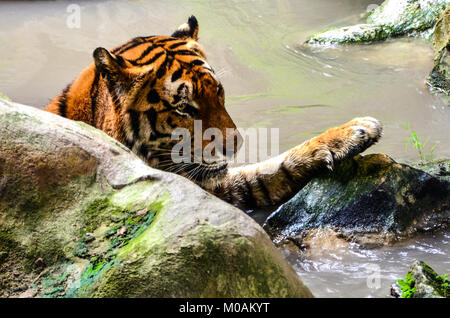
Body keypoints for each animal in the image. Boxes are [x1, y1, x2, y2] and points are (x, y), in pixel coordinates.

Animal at [46, 16, 384, 211]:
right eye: (183, 107)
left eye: (218, 92)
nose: (235, 147)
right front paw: (357, 129)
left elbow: (268, 170)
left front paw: (356, 131)